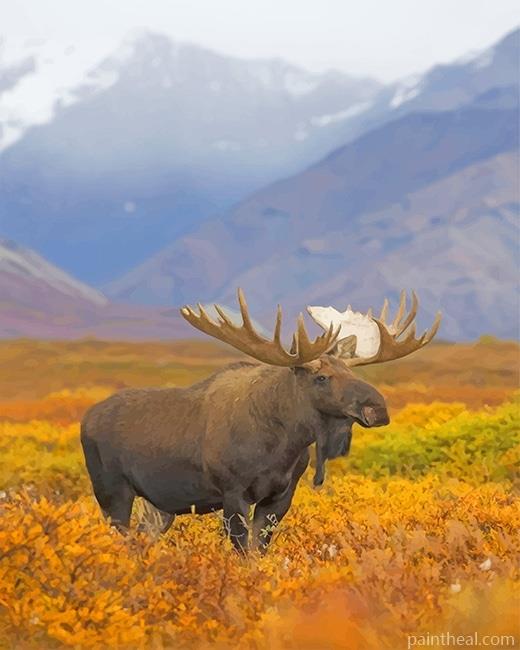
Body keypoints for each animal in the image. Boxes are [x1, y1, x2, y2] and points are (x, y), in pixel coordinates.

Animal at [81, 289, 440, 552]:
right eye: (322, 377)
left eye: (352, 372)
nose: (377, 409)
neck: (283, 445)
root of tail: (85, 419)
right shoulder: (232, 493)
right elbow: (244, 553)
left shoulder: (280, 496)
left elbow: (260, 550)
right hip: (112, 491)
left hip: (158, 505)